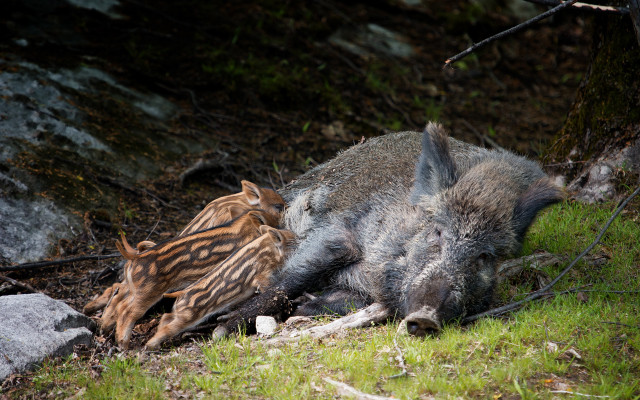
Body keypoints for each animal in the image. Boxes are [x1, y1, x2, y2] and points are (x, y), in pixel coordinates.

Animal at [218, 122, 565, 337]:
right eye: (438, 231)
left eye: (485, 256)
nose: (425, 317)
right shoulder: (339, 232)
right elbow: (289, 279)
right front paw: (221, 328)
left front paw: (304, 307)